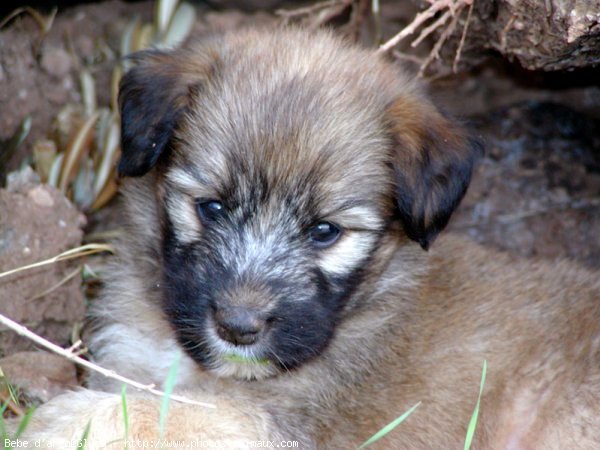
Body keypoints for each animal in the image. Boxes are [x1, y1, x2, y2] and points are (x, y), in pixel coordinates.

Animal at [19, 26, 600, 448]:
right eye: (212, 207)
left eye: (324, 232)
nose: (238, 328)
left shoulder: (281, 424)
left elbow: (174, 414)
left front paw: (60, 424)